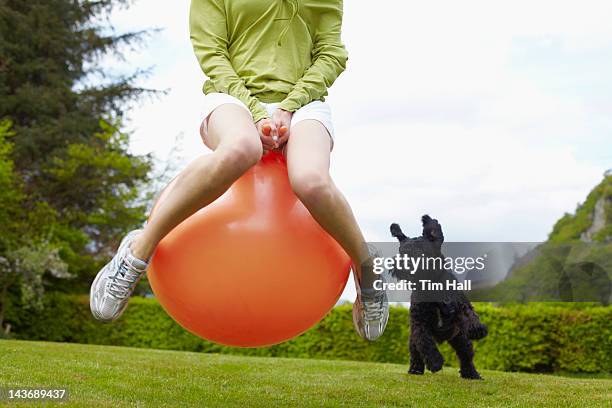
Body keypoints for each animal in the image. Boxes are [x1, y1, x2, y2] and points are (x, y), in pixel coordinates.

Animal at [392, 217, 488, 380]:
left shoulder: (460, 306)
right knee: (416, 354)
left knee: (466, 357)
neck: (431, 284)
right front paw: (435, 362)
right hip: (414, 341)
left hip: (461, 339)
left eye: (419, 250)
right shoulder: (419, 323)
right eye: (401, 251)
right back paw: (415, 370)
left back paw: (472, 374)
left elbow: (470, 315)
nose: (399, 264)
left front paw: (477, 329)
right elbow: (425, 343)